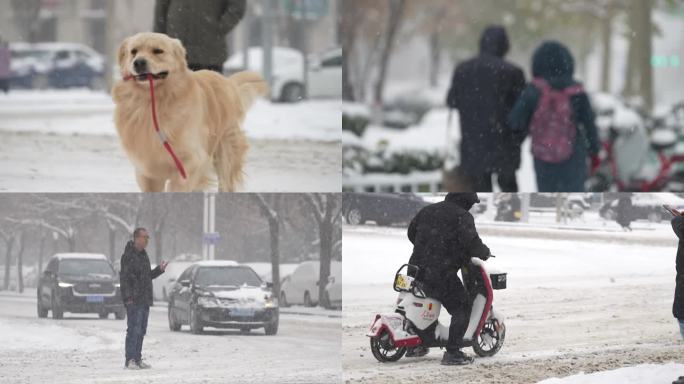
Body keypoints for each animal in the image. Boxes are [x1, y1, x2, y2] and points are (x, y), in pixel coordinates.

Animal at [112, 32, 268, 191]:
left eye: (158, 51)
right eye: (134, 51)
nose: (138, 62)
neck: (153, 102)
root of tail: (227, 81)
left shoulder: (191, 161)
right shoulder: (147, 170)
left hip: (225, 153)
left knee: (225, 183)